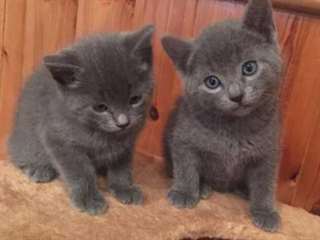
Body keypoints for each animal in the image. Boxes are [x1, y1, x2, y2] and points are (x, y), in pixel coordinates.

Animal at [8, 25, 155, 215]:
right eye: (100, 107)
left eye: (135, 99)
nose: (123, 122)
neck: (103, 134)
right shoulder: (58, 137)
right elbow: (79, 170)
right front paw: (89, 198)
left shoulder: (127, 143)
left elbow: (122, 166)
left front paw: (124, 187)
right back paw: (39, 169)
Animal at [162, 0, 282, 232]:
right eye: (212, 82)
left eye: (249, 67)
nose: (236, 95)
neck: (234, 129)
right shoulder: (183, 138)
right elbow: (185, 165)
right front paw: (184, 192)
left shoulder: (268, 151)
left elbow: (265, 183)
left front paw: (265, 212)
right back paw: (203, 187)